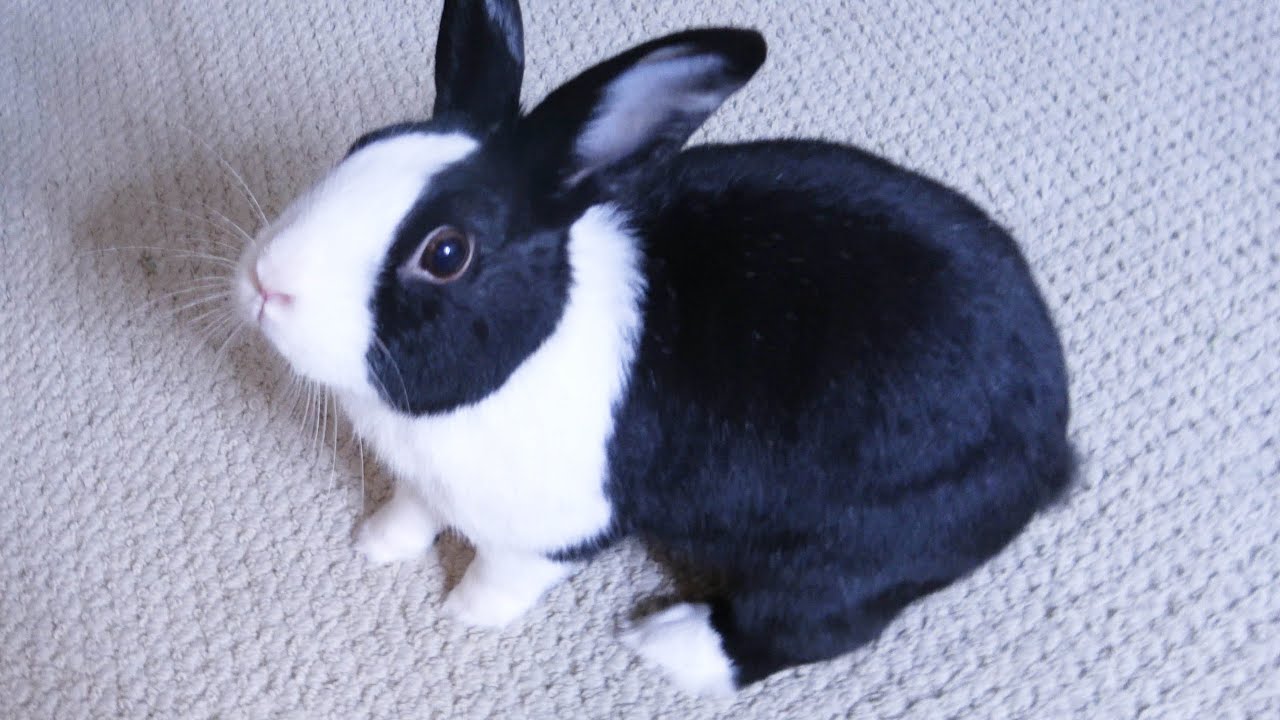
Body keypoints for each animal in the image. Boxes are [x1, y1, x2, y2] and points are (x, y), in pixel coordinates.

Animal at [234, 0, 1075, 696]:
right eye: (360, 147)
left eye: (445, 253)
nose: (268, 281)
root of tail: (1052, 450)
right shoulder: (423, 480)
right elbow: (411, 508)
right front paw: (376, 545)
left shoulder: (555, 532)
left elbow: (503, 574)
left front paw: (464, 614)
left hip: (850, 555)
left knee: (815, 627)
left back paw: (667, 642)